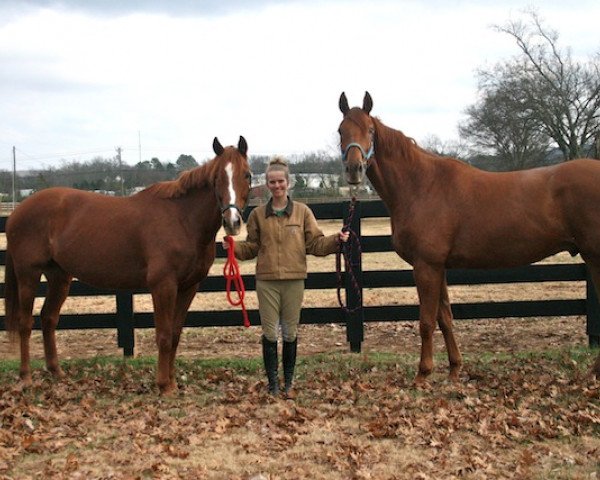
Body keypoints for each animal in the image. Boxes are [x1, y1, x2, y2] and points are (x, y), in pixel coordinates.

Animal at [3, 135, 251, 394]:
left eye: (247, 175)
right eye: (217, 178)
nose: (232, 222)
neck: (182, 219)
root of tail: (16, 213)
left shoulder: (188, 287)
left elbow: (175, 335)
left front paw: (172, 382)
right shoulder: (163, 286)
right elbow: (164, 335)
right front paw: (164, 385)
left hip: (59, 277)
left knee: (48, 318)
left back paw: (56, 372)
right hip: (28, 274)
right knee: (25, 323)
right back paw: (26, 377)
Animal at [338, 91, 600, 382]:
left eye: (370, 130)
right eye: (340, 130)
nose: (354, 169)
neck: (421, 185)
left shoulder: (426, 266)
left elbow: (426, 321)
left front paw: (423, 374)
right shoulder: (437, 266)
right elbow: (445, 318)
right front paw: (454, 370)